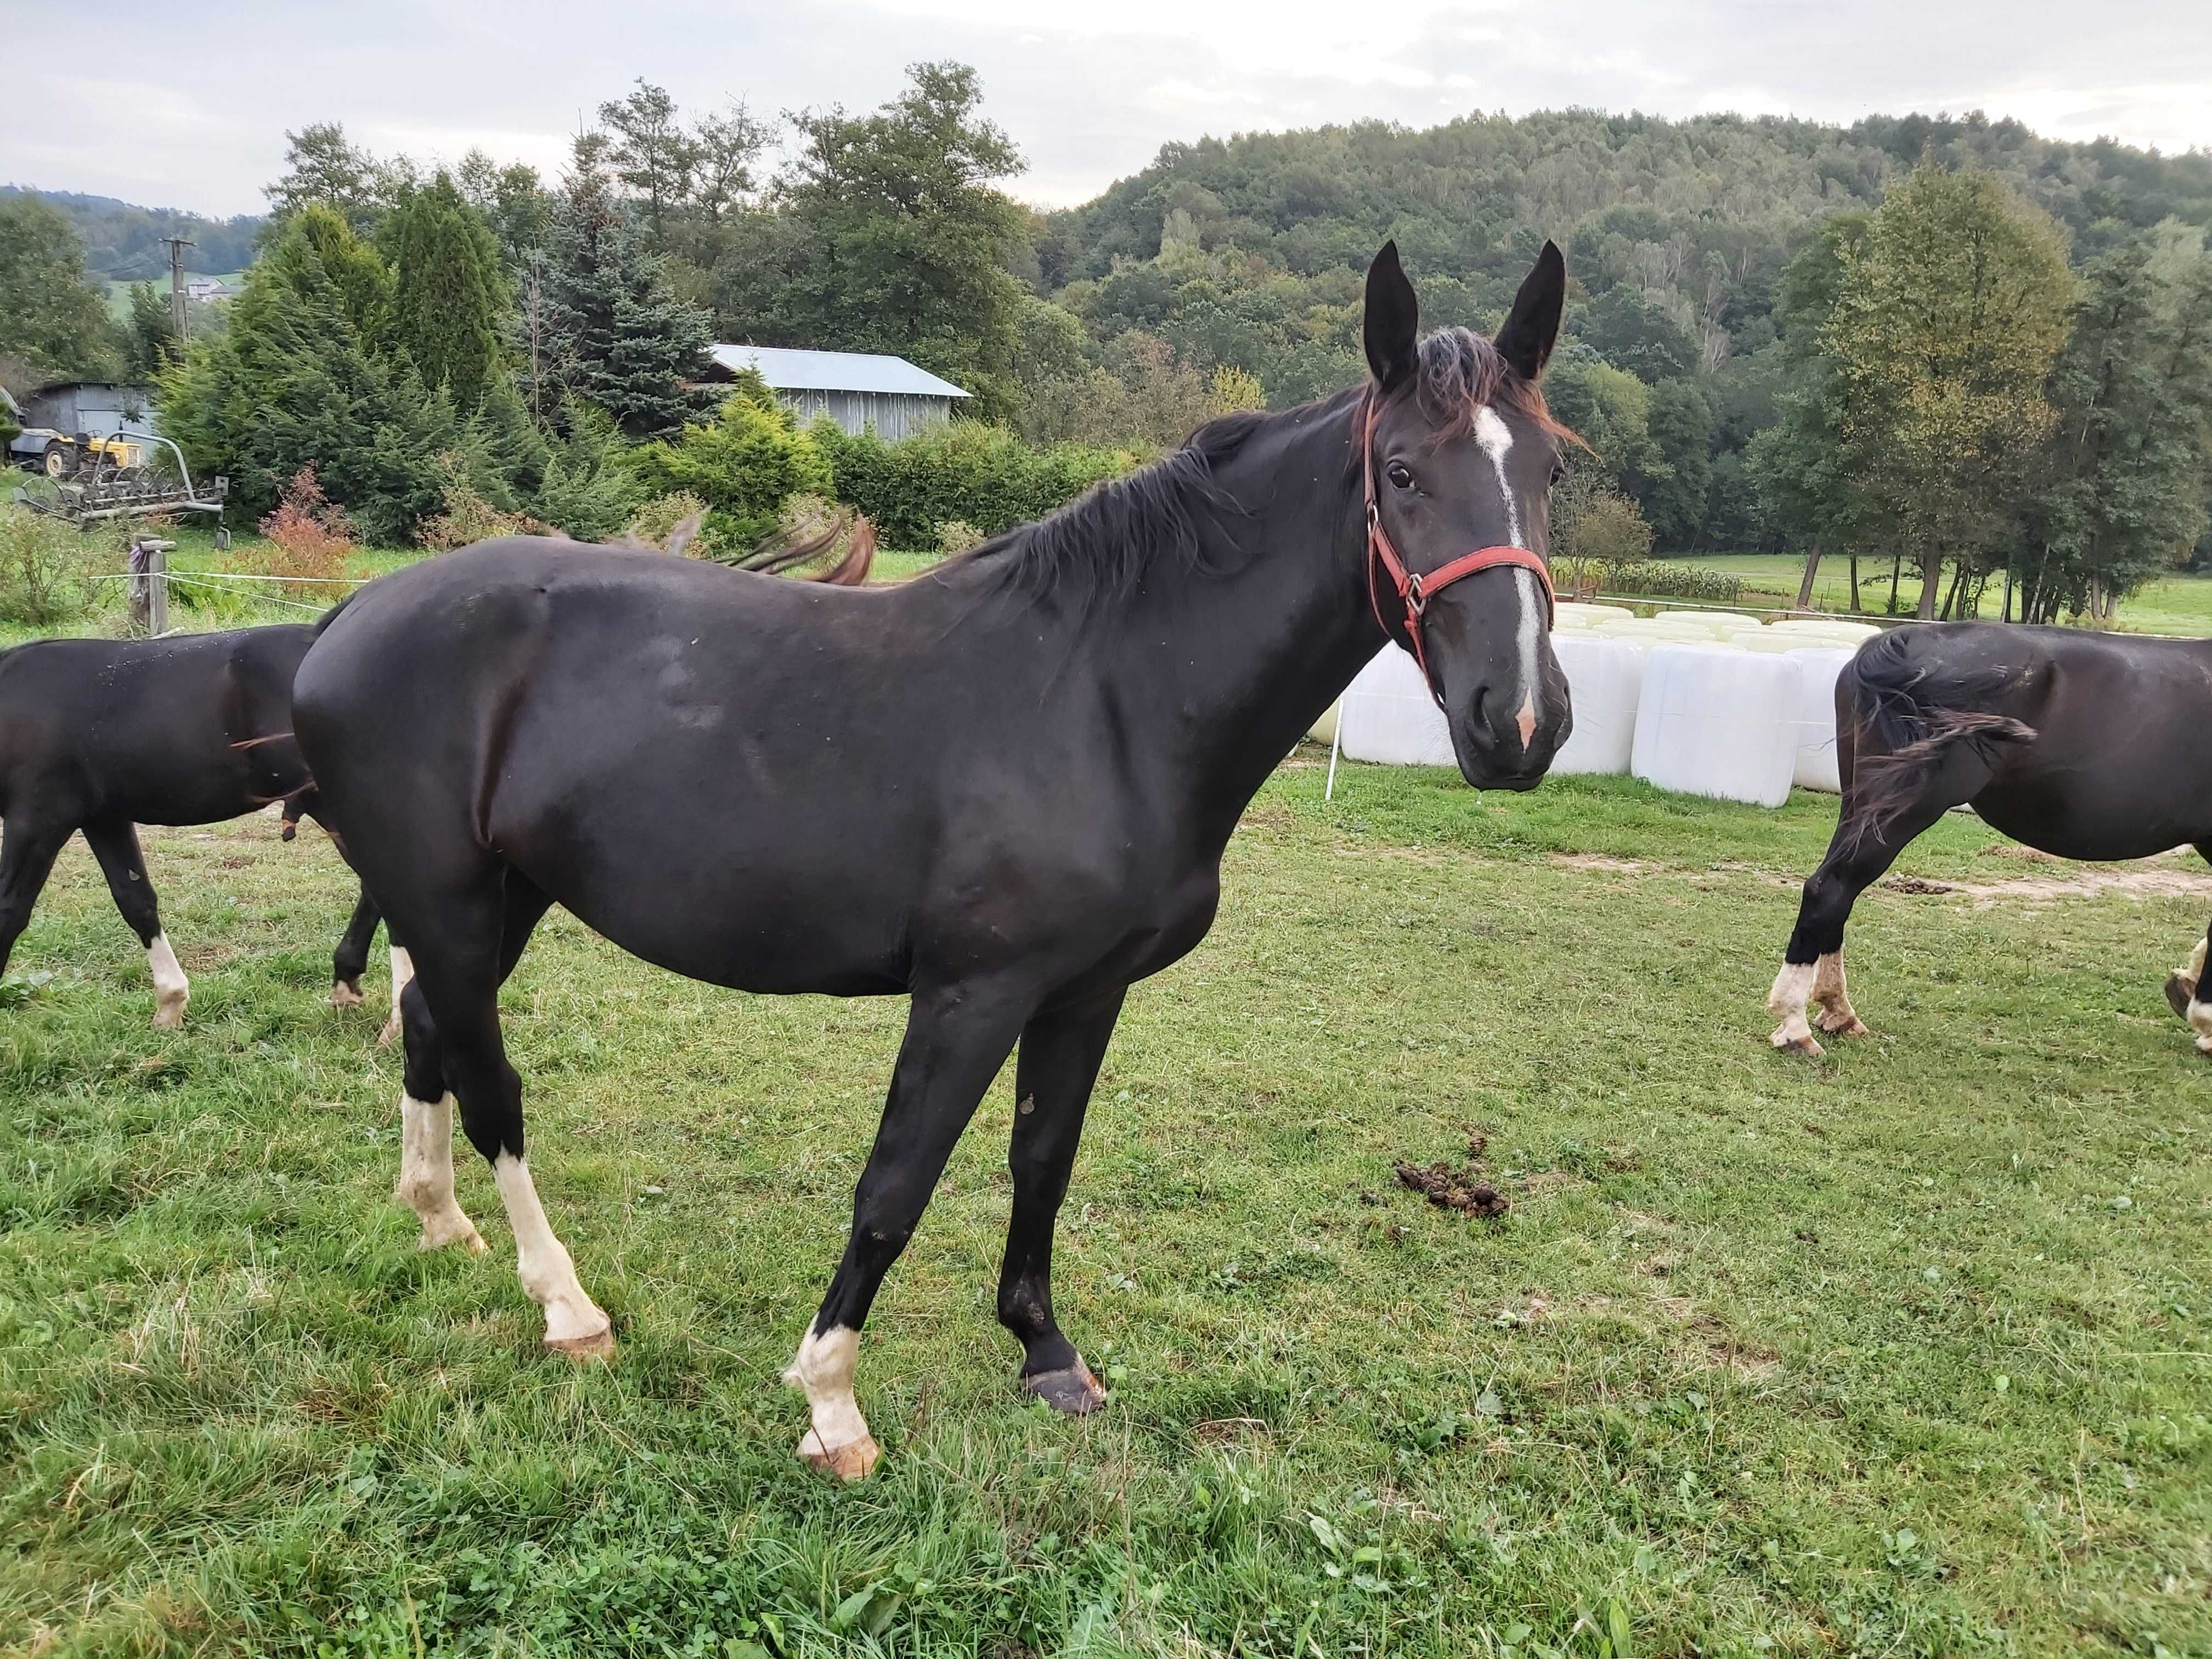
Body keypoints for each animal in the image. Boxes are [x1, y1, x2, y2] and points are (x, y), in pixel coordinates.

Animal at [294, 243, 1575, 1477]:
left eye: (1550, 473)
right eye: (1400, 472)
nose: (1517, 722)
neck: (1105, 696)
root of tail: (348, 618)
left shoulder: (1084, 995)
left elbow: (1042, 1161)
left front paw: (1045, 1351)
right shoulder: (971, 995)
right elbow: (893, 1188)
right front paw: (831, 1402)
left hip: (496, 900)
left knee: (430, 1037)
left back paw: (439, 1221)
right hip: (453, 906)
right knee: (492, 1084)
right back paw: (567, 1306)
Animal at [1769, 619, 2212, 1057]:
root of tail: (1903, 640)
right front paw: (2205, 1018)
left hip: (1863, 803)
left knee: (1837, 895)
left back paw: (1838, 1011)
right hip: (1906, 808)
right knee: (1831, 889)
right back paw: (1795, 1028)